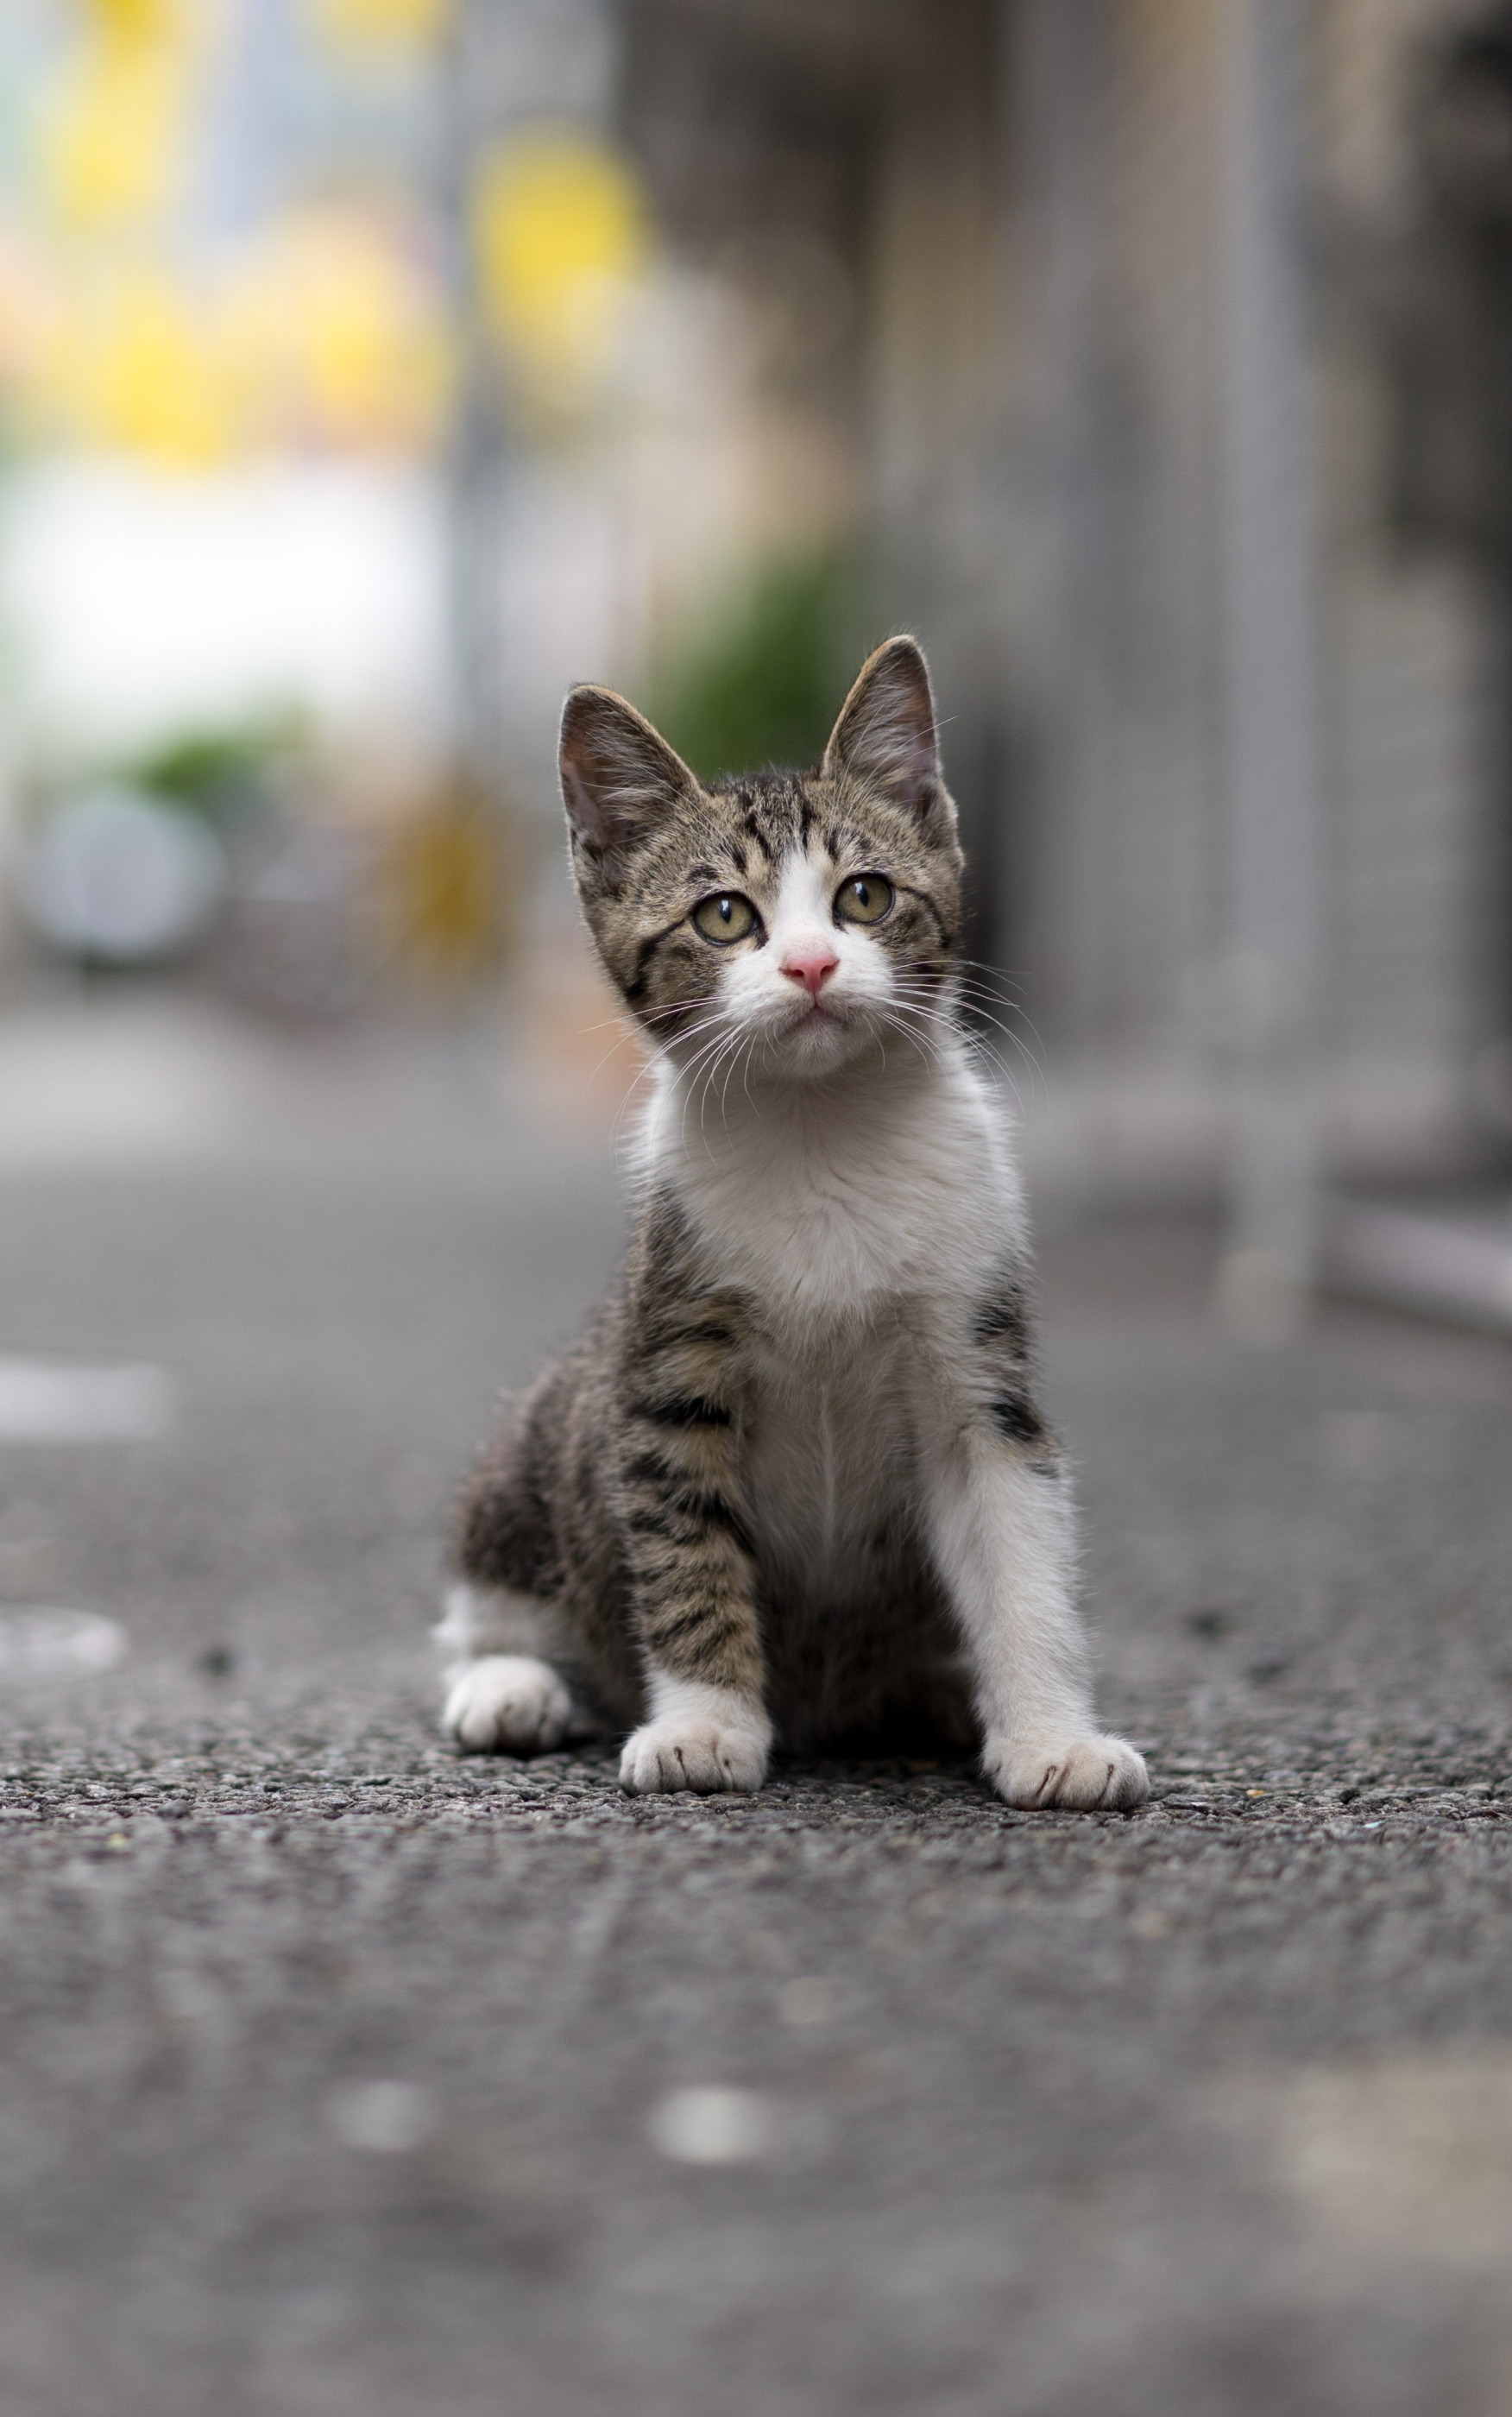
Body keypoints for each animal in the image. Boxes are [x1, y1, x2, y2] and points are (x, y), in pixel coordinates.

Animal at [434, 633, 1139, 1808]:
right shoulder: (665, 1368)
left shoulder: (978, 1364)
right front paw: (706, 1725)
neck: (822, 1133)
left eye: (865, 895)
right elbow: (684, 1550)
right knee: (487, 1600)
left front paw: (1052, 1734)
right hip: (544, 1432)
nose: (810, 964)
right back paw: (512, 1683)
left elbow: (1022, 1551)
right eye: (725, 914)